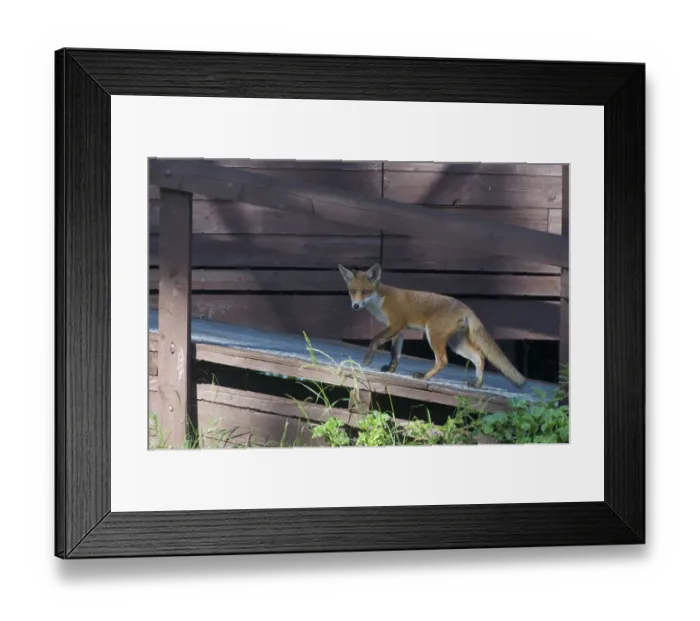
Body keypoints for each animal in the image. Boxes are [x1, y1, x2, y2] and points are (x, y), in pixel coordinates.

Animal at [338, 262, 526, 389]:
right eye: (352, 291)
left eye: (365, 292)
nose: (355, 306)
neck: (380, 301)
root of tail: (465, 307)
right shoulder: (399, 331)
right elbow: (395, 354)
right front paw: (390, 370)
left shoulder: (397, 323)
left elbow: (375, 339)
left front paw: (368, 360)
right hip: (457, 344)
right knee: (480, 357)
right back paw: (477, 383)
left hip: (433, 336)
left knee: (443, 361)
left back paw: (423, 377)